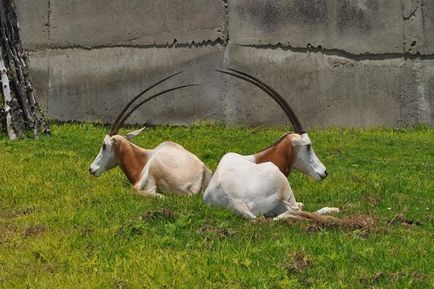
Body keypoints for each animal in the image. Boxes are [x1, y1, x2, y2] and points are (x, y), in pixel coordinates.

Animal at [204, 67, 340, 219]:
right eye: (308, 146)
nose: (324, 172)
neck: (259, 159)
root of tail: (237, 203)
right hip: (282, 184)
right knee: (297, 210)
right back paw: (332, 210)